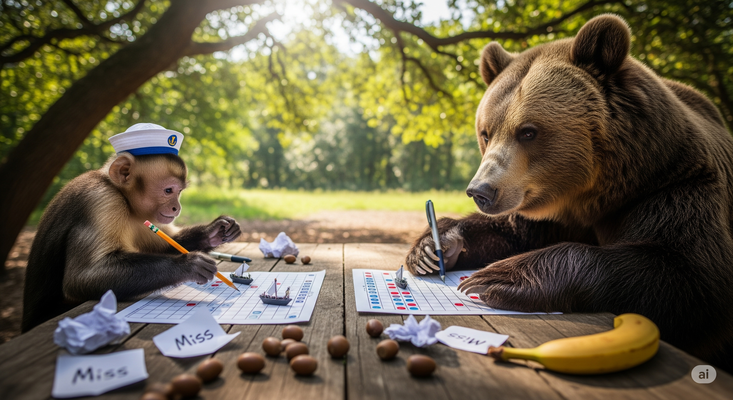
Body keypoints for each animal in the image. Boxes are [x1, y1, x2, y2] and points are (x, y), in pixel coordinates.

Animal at [21, 152, 241, 332]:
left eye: (179, 192)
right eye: (169, 190)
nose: (177, 208)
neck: (123, 197)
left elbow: (166, 244)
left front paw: (215, 231)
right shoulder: (102, 201)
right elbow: (80, 278)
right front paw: (189, 264)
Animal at [405, 14, 733, 371]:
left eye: (528, 131)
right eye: (486, 132)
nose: (481, 191)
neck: (592, 194)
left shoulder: (675, 186)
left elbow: (686, 274)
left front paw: (497, 277)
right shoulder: (546, 212)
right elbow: (509, 232)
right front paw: (430, 248)